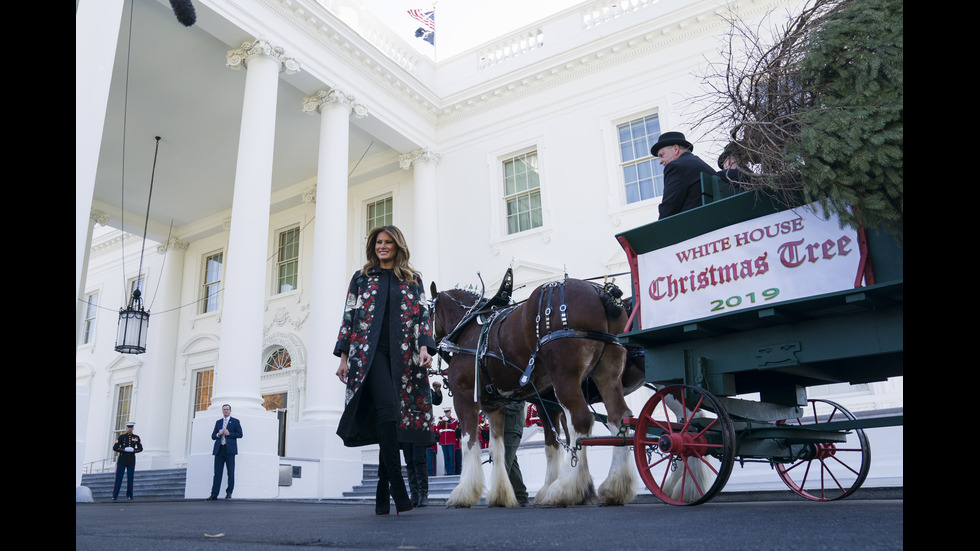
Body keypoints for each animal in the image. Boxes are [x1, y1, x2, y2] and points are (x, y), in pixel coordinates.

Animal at [432, 270, 640, 508]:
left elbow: (469, 441)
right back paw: (616, 486)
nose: (431, 346)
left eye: (429, 312)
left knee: (581, 421)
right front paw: (500, 494)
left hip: (565, 377)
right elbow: (499, 448)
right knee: (618, 418)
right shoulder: (496, 406)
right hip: (608, 373)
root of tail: (601, 293)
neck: (468, 329)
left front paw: (463, 492)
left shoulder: (464, 397)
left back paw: (565, 489)